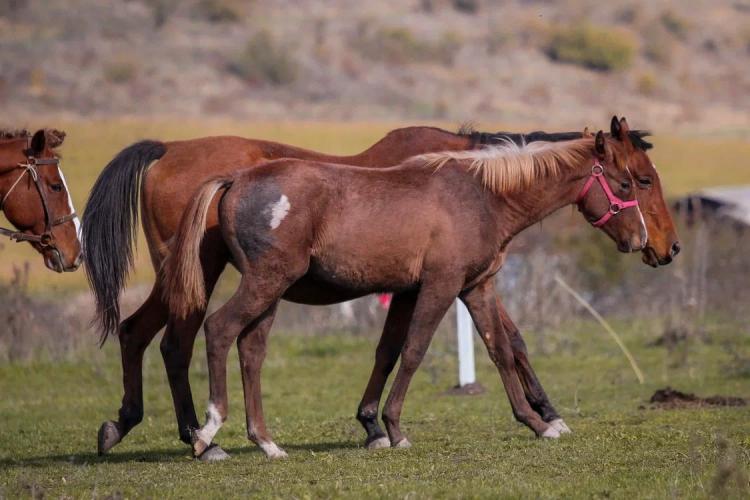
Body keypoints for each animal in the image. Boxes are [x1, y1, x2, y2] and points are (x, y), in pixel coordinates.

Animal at [87, 118, 679, 459]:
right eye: (636, 180)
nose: (662, 247)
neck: (478, 191)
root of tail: (232, 179)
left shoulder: (475, 286)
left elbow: (498, 348)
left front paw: (539, 422)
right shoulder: (439, 286)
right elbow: (414, 350)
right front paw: (392, 428)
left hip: (261, 291)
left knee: (229, 346)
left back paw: (259, 441)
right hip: (242, 282)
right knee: (204, 334)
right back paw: (205, 435)